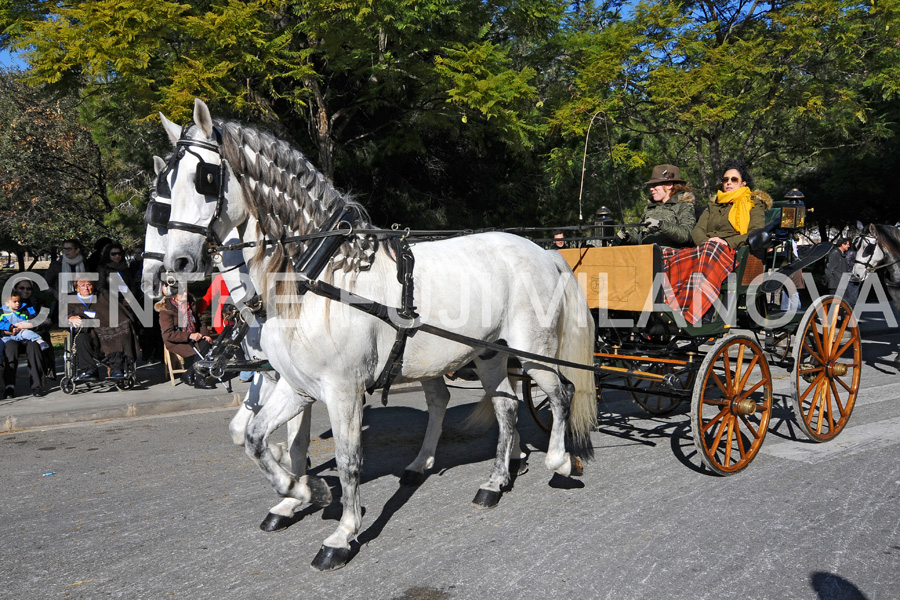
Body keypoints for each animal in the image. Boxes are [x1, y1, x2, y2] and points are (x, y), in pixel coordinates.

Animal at [143, 154, 316, 528]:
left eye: (162, 215)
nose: (151, 279)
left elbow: (296, 437)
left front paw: (292, 487)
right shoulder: (267, 374)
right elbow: (242, 430)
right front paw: (286, 469)